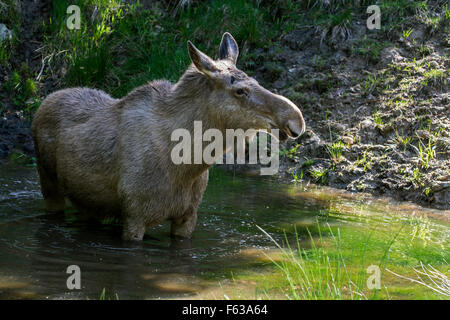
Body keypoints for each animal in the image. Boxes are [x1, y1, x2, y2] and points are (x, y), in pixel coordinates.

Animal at [32, 33, 306, 241]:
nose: (296, 119)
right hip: (49, 186)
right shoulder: (134, 217)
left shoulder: (188, 218)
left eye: (256, 81)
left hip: (88, 203)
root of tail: (46, 99)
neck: (187, 164)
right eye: (240, 90)